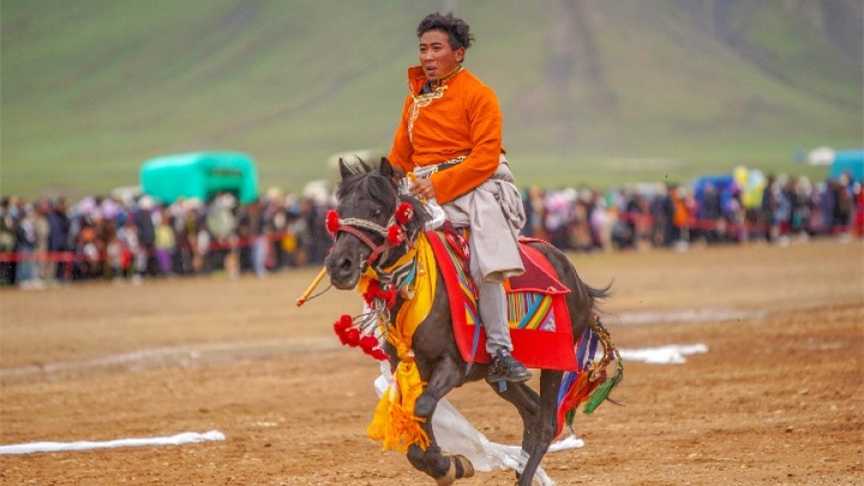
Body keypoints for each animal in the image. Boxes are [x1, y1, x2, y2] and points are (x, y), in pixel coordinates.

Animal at [320, 158, 612, 484]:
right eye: (339, 210)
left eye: (376, 211)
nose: (339, 265)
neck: (416, 283)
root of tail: (575, 280)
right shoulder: (410, 366)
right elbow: (416, 415)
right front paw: (444, 462)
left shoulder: (453, 365)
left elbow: (422, 407)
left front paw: (448, 464)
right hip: (497, 377)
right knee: (533, 412)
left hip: (555, 360)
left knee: (547, 422)